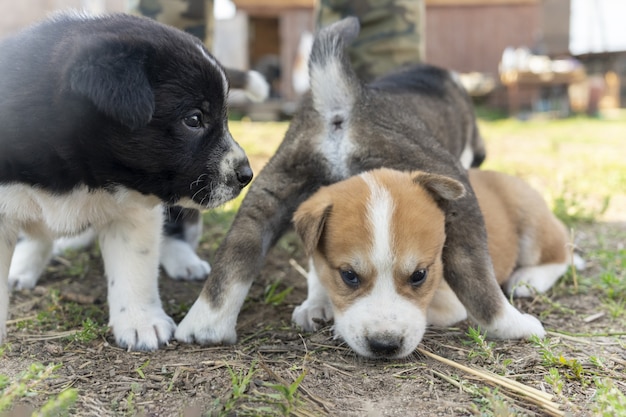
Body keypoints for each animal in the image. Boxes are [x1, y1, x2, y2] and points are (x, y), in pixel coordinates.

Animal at [174, 17, 540, 344]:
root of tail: (347, 99)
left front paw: (318, 304)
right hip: (457, 203)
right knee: (478, 281)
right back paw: (516, 325)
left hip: (265, 198)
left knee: (236, 257)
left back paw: (205, 327)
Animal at [292, 167, 580, 356]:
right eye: (349, 275)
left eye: (419, 275)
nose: (385, 346)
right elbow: (317, 278)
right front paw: (313, 306)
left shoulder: (450, 302)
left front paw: (338, 328)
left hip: (532, 224)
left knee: (562, 253)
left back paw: (528, 278)